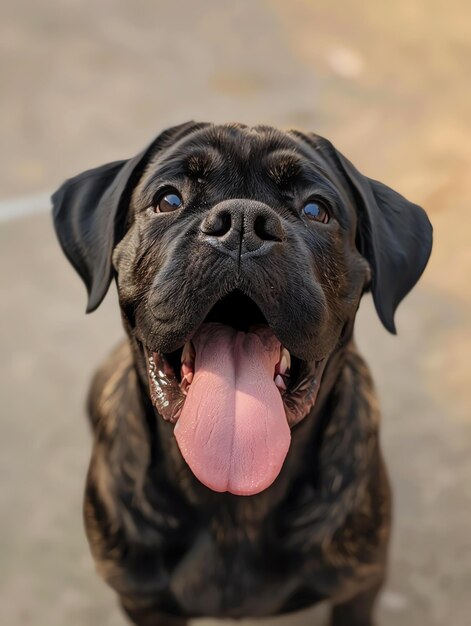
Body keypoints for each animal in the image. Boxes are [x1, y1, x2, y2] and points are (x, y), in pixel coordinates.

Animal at [51, 119, 432, 620]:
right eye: (168, 199)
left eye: (317, 209)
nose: (243, 223)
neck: (232, 509)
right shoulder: (142, 601)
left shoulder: (359, 588)